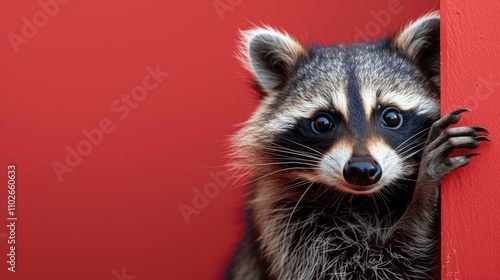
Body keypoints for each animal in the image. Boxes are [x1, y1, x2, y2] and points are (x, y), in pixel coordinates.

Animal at [223, 12, 488, 280]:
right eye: (322, 122)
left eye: (391, 117)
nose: (362, 170)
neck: (368, 199)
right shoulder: (282, 216)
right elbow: (365, 269)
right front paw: (422, 199)